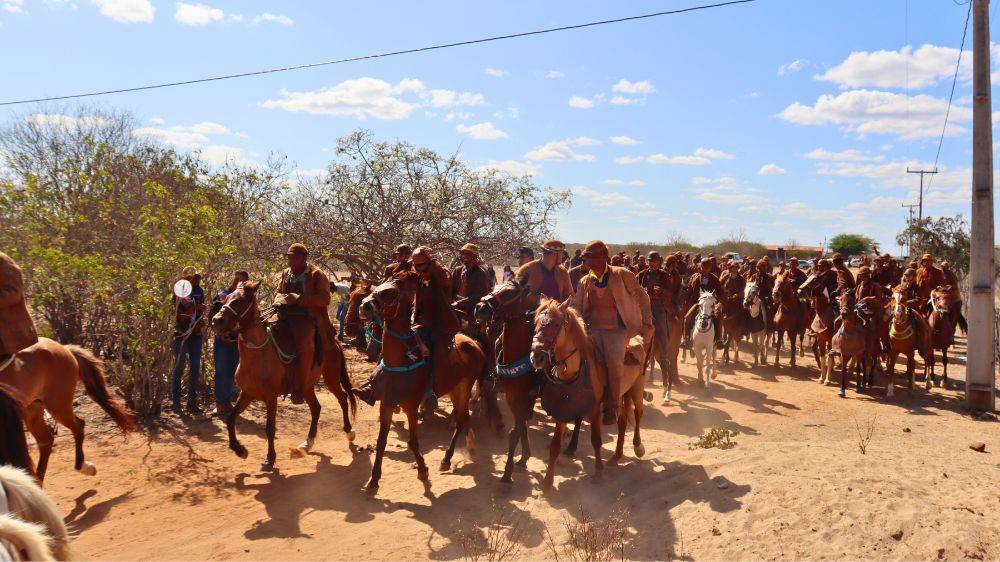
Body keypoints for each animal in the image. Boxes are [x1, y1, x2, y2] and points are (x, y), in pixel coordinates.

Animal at [0, 336, 136, 482]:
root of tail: (65, 348)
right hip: (34, 408)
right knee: (46, 440)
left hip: (57, 406)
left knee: (77, 426)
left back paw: (81, 466)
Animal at [209, 282, 358, 470]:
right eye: (227, 298)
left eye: (241, 300)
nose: (216, 320)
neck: (258, 355)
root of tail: (334, 341)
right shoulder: (247, 394)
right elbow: (230, 419)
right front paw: (239, 450)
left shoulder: (271, 397)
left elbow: (270, 428)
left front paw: (270, 458)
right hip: (306, 386)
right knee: (316, 407)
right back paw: (307, 442)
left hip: (330, 378)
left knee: (343, 398)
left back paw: (349, 431)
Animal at [360, 274, 484, 492]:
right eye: (377, 287)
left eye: (390, 292)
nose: (363, 307)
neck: (400, 362)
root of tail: (474, 343)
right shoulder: (387, 404)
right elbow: (382, 441)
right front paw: (374, 479)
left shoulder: (410, 406)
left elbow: (413, 442)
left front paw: (423, 470)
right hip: (453, 389)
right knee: (464, 418)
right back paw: (468, 447)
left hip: (465, 387)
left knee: (460, 420)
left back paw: (447, 458)